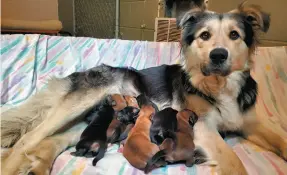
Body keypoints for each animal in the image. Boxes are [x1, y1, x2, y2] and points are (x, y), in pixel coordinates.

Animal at [1, 2, 286, 175]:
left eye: (235, 35)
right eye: (205, 35)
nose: (218, 55)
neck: (220, 86)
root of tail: (83, 72)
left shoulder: (249, 121)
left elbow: (280, 139)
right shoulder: (203, 127)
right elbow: (234, 161)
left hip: (89, 120)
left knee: (52, 140)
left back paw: (37, 165)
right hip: (78, 103)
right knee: (27, 139)